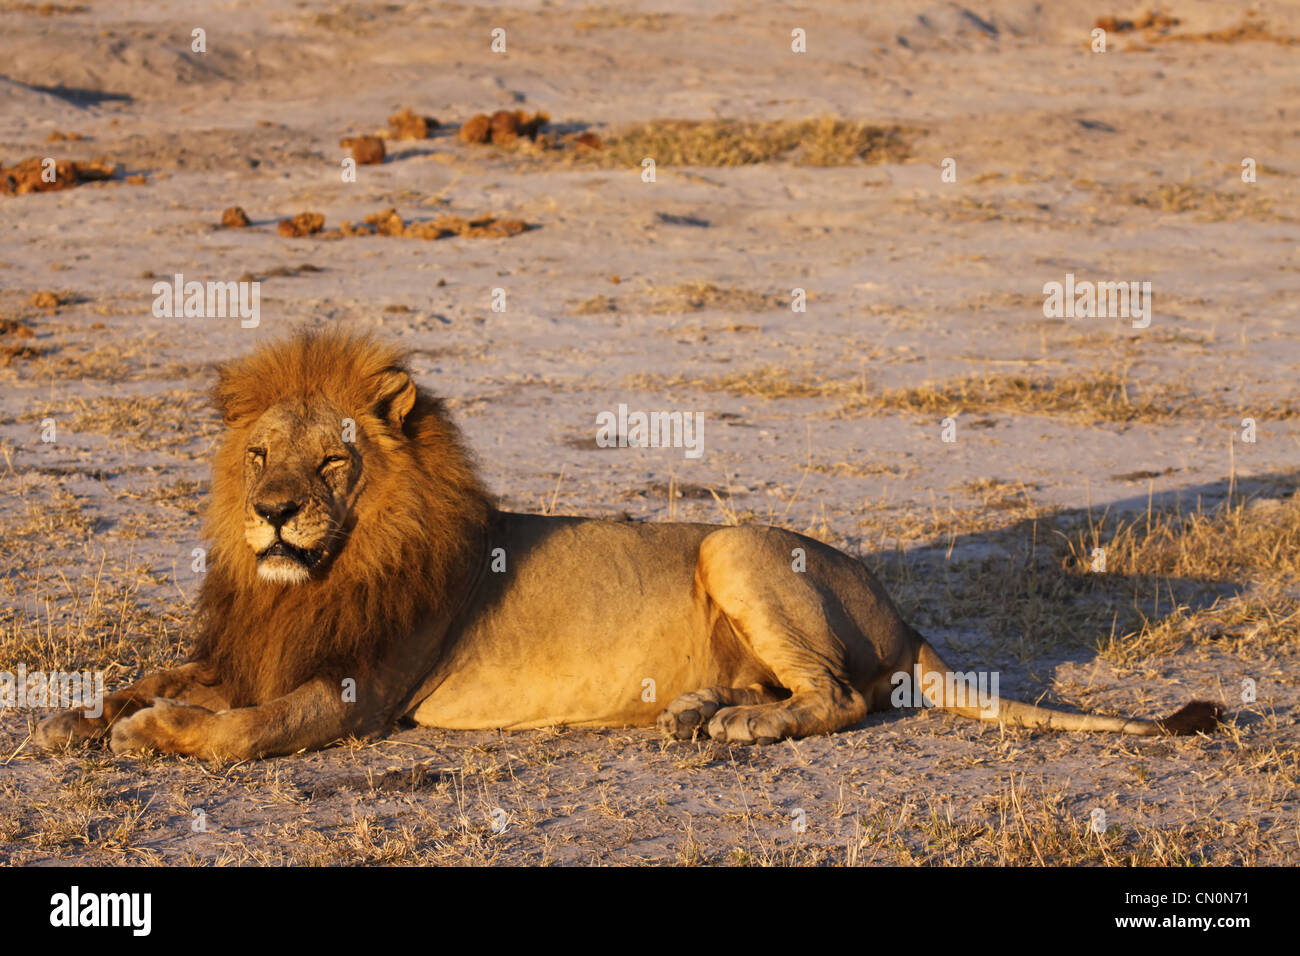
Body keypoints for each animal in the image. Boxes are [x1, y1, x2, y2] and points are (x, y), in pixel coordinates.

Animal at [35, 329, 1221, 759]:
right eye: (258, 456)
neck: (314, 576)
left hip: (734, 546)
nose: (273, 513)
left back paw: (739, 726)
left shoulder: (358, 692)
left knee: (842, 696)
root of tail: (906, 612)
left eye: (332, 463)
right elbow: (173, 675)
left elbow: (245, 727)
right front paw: (103, 706)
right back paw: (707, 707)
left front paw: (156, 729)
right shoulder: (258, 644)